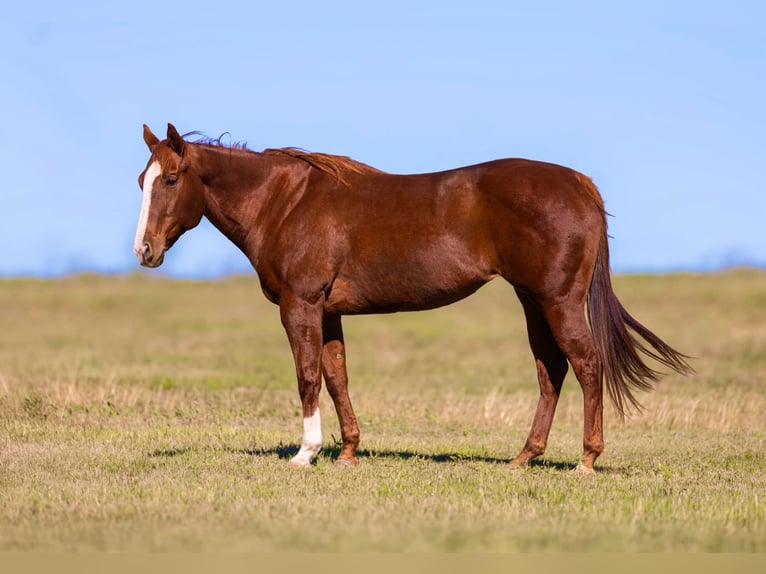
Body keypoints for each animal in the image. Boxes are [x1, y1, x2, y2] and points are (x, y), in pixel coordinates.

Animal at [134, 123, 691, 474]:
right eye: (142, 180)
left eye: (171, 179)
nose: (144, 251)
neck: (285, 204)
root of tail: (580, 184)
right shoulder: (329, 313)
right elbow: (336, 376)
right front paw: (348, 452)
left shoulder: (301, 305)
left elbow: (308, 376)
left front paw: (305, 453)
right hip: (533, 300)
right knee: (551, 369)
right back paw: (524, 457)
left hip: (558, 301)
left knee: (586, 364)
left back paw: (586, 459)